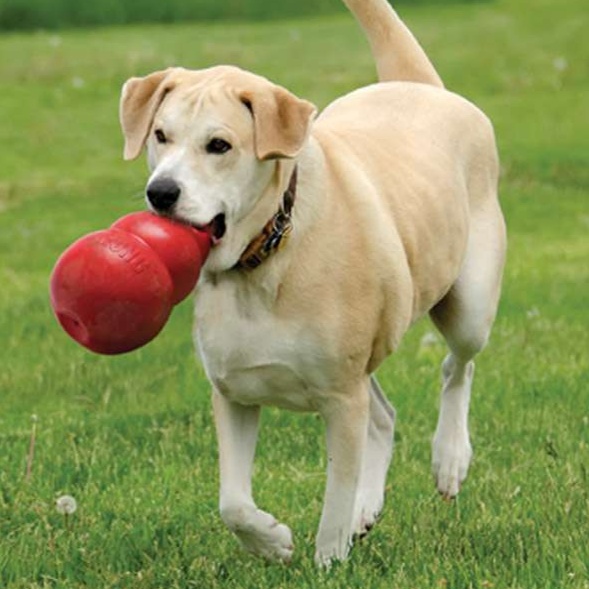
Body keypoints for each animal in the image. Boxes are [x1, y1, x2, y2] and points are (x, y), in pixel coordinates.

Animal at [118, 0, 506, 564]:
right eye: (160, 136)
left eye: (219, 145)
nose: (161, 192)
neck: (266, 255)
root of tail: (422, 86)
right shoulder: (234, 390)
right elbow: (232, 503)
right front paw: (272, 540)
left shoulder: (341, 398)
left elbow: (336, 495)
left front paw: (329, 559)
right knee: (384, 414)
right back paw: (369, 507)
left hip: (469, 301)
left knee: (458, 365)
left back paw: (449, 457)